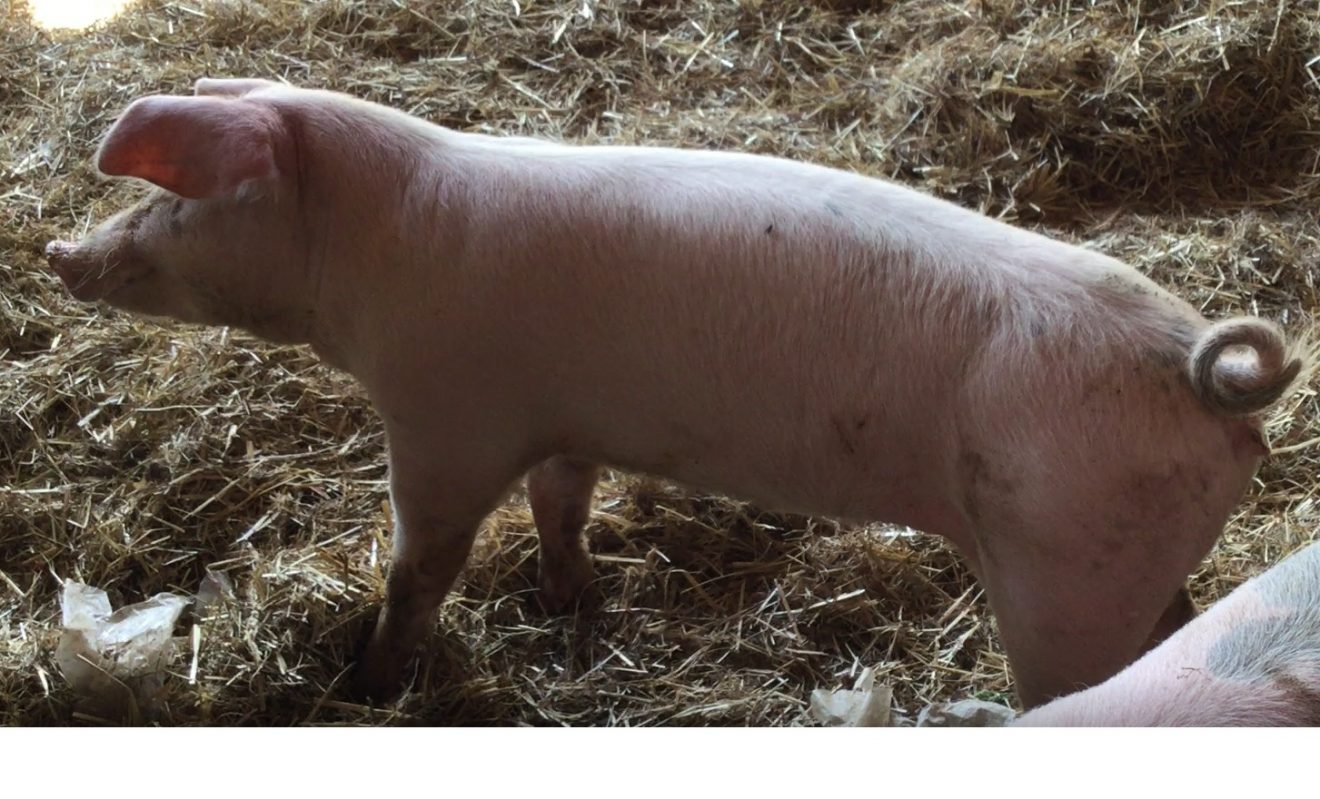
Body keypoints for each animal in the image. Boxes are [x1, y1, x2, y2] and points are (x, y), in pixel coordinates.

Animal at [45, 78, 1309, 707]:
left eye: (172, 197)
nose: (59, 253)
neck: (370, 250)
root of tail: (1201, 376)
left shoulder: (445, 419)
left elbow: (423, 563)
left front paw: (375, 676)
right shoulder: (558, 414)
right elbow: (561, 502)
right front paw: (570, 601)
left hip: (1062, 572)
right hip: (1122, 558)